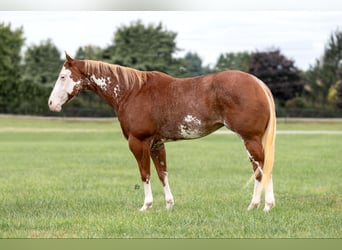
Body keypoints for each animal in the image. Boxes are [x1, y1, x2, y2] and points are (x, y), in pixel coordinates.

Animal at [48, 53, 276, 212]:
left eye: (63, 76)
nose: (51, 104)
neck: (132, 91)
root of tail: (258, 83)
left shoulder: (138, 142)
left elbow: (145, 173)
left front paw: (146, 206)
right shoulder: (157, 143)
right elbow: (162, 173)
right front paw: (168, 204)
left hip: (250, 139)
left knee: (263, 168)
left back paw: (265, 205)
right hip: (250, 140)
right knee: (259, 170)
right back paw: (256, 205)